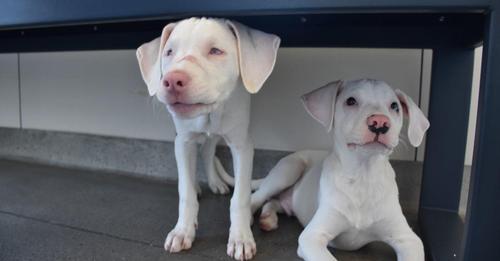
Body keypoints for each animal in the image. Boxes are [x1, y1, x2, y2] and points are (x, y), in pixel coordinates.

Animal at [135, 17, 280, 258]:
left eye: (215, 51)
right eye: (169, 52)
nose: (172, 81)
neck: (211, 113)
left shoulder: (242, 145)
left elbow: (240, 197)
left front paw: (240, 238)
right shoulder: (183, 141)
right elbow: (185, 192)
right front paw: (182, 231)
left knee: (208, 149)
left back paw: (215, 182)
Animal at [250, 78, 430, 260]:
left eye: (394, 106)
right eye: (350, 101)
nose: (380, 122)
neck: (363, 176)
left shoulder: (408, 239)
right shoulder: (312, 236)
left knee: (274, 202)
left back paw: (268, 218)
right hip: (289, 170)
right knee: (256, 198)